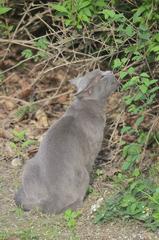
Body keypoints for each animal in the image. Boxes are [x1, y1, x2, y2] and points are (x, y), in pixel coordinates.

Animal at [14, 69, 119, 214]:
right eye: (101, 76)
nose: (110, 71)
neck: (86, 104)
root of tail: (53, 199)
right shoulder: (92, 152)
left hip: (29, 165)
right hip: (83, 174)